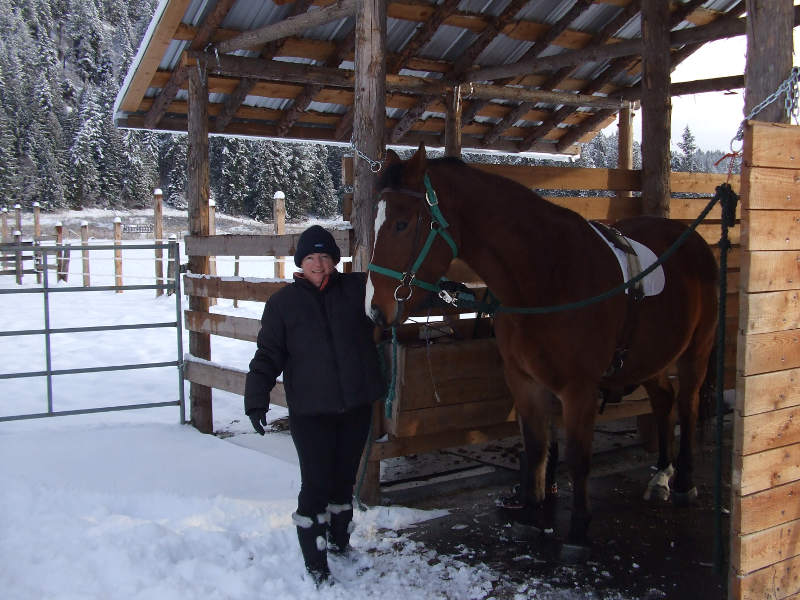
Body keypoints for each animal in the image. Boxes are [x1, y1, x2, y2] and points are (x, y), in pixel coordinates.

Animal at [366, 143, 720, 556]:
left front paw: (579, 529)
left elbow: (578, 457)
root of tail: (693, 240)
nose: (376, 310)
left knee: (687, 405)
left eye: (402, 224)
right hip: (650, 359)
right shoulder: (523, 381)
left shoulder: (579, 391)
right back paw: (661, 474)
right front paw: (531, 515)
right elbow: (536, 448)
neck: (546, 275)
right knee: (664, 401)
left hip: (696, 351)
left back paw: (683, 483)